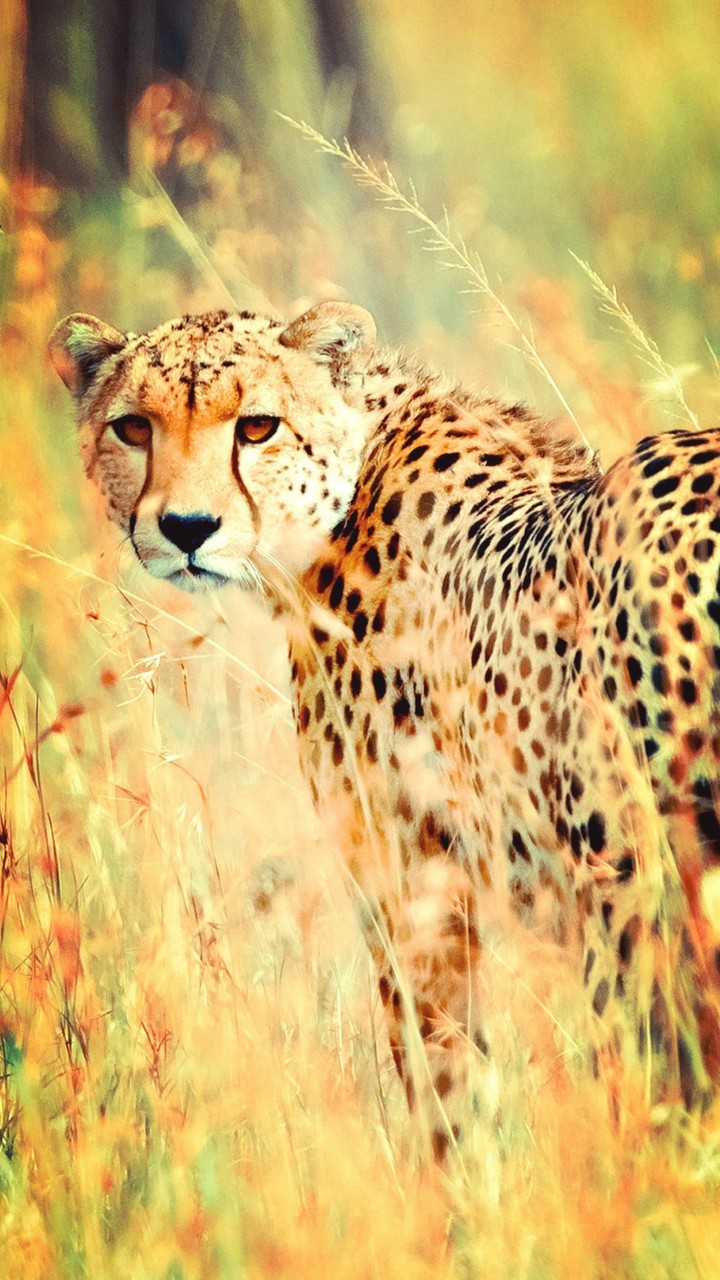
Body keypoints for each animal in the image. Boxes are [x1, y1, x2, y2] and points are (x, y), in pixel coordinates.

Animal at [49, 299, 720, 1160]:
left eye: (257, 426)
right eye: (133, 428)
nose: (188, 527)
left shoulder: (413, 885)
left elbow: (445, 1092)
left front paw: (460, 1192)